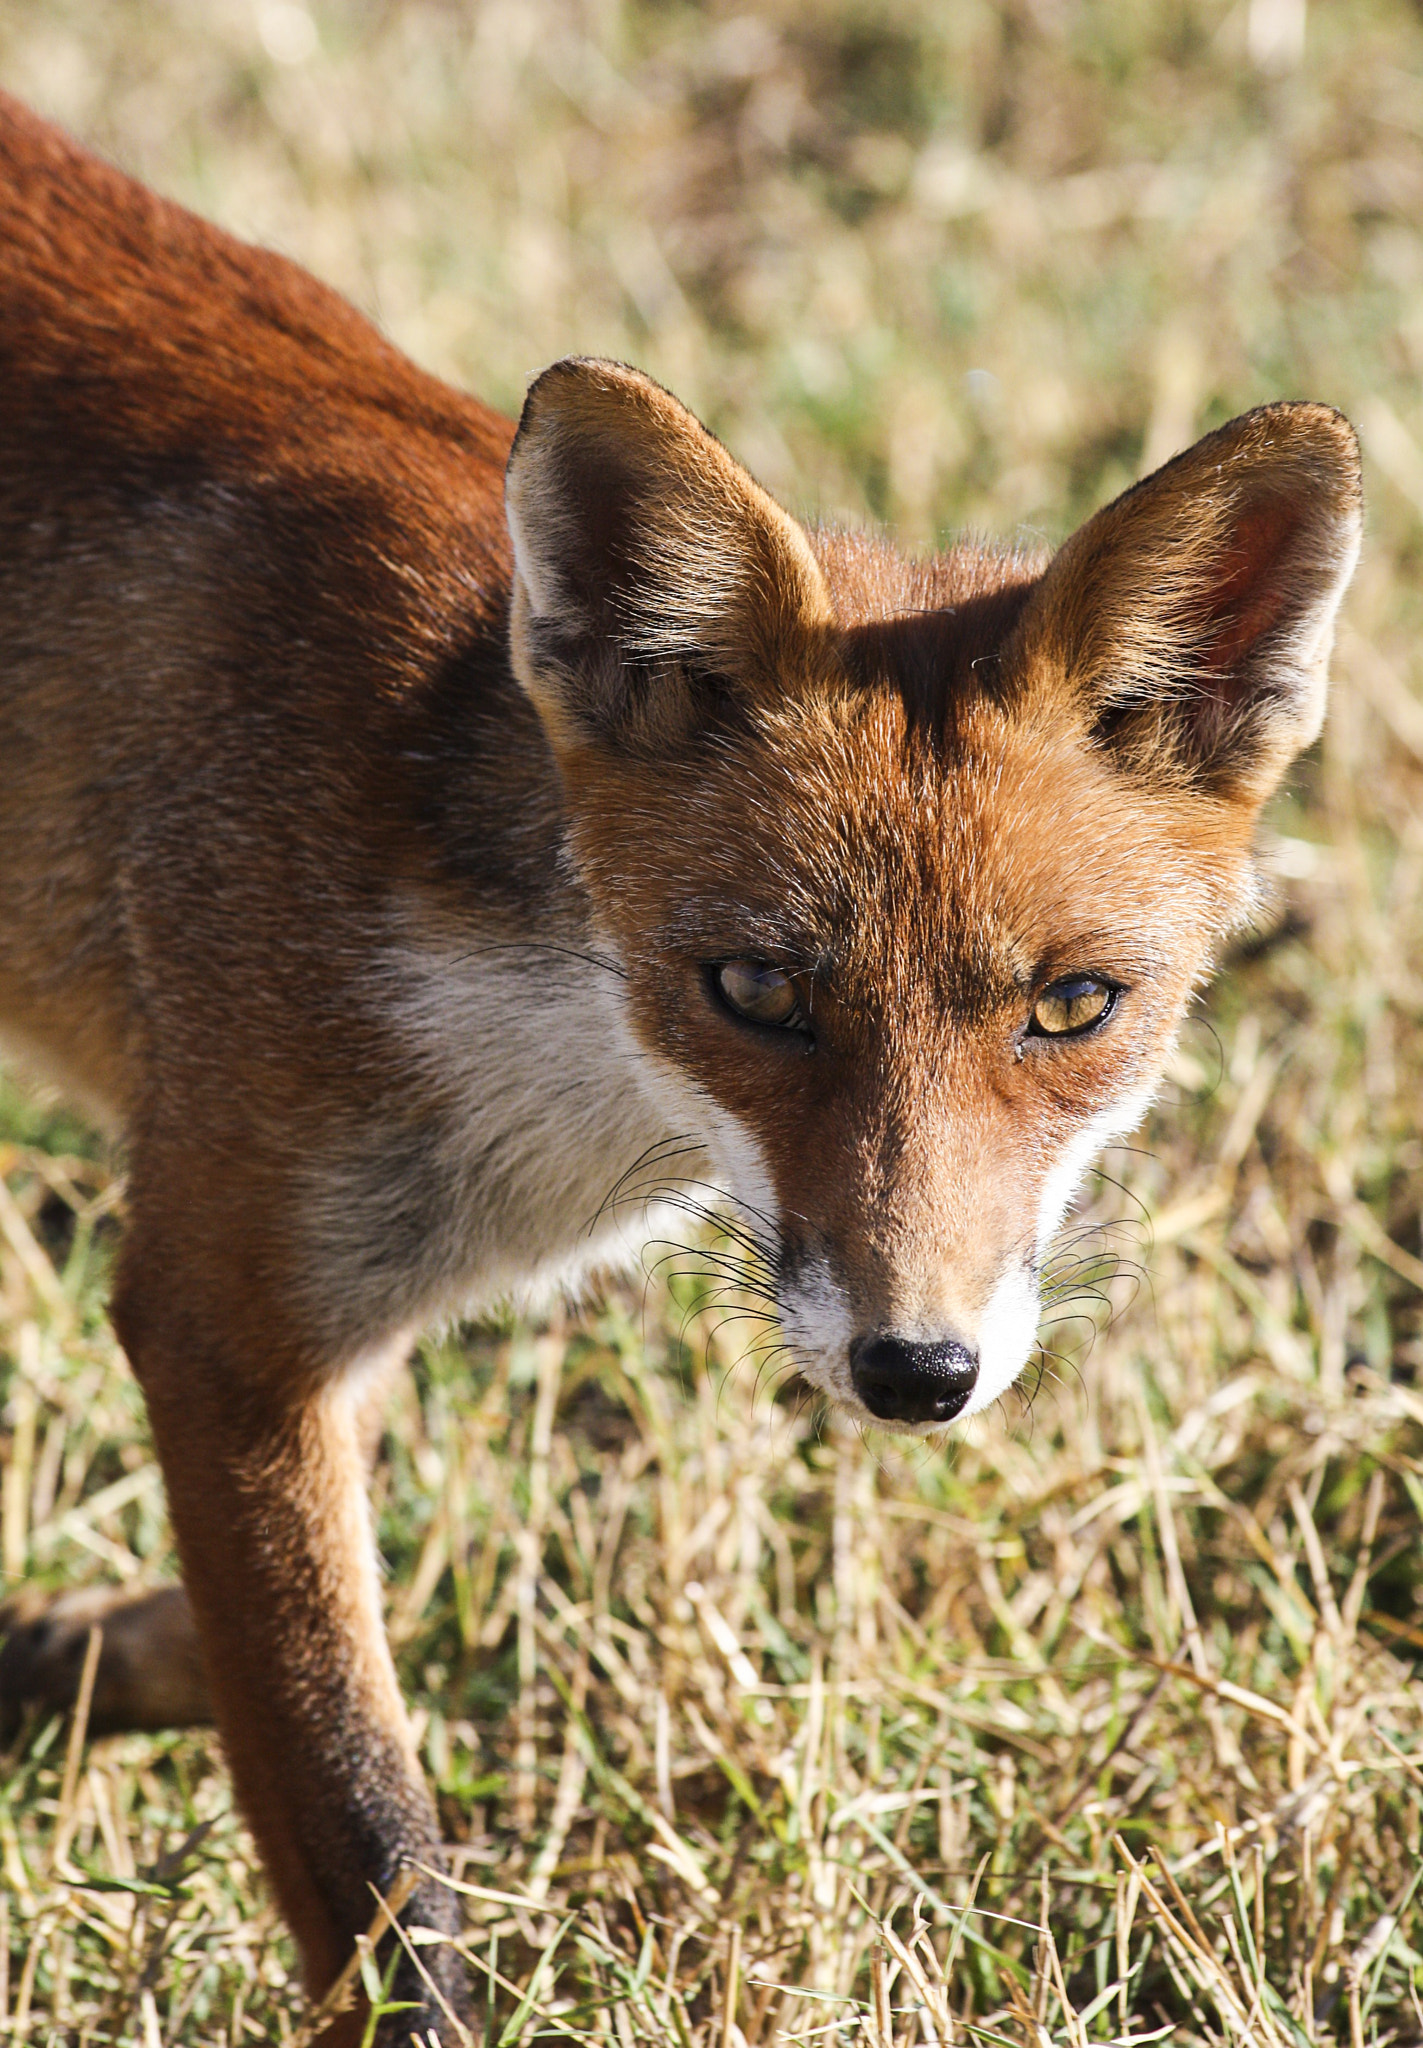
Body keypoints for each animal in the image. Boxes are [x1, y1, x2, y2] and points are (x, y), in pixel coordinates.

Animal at [0, 90, 1361, 2044]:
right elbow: (369, 1838)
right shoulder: (224, 1309)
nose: (915, 1372)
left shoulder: (312, 1348)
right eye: (757, 989)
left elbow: (259, 1645)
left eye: (1071, 1006)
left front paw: (55, 1657)